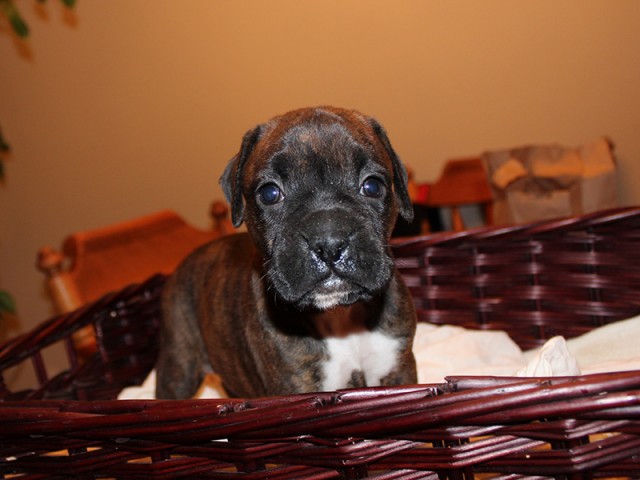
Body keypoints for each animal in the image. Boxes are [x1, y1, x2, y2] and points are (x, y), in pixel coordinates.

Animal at [157, 107, 418, 400]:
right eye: (270, 193)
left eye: (372, 186)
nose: (329, 242)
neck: (340, 316)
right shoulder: (294, 386)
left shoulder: (400, 370)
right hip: (178, 366)